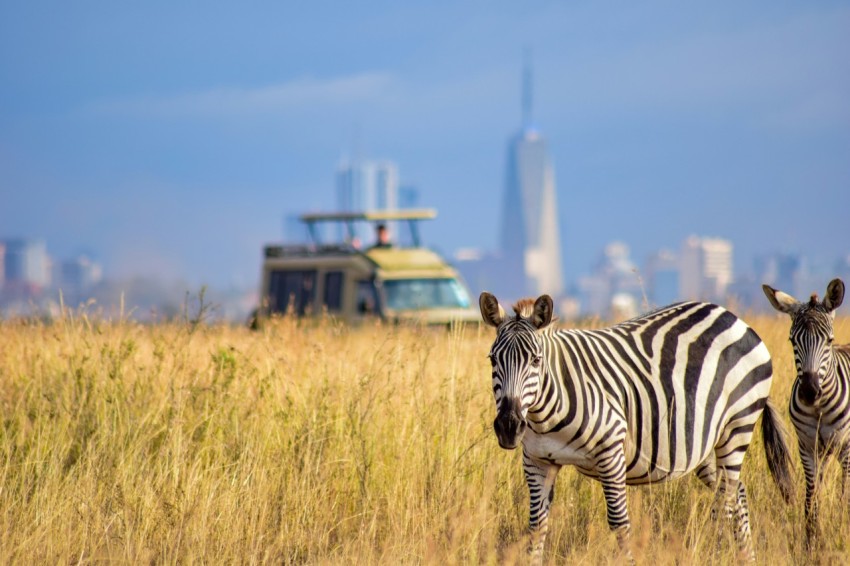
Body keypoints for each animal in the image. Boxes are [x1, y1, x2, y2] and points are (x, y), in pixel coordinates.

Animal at [476, 292, 796, 564]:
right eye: (493, 360)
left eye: (535, 360)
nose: (509, 426)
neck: (545, 415)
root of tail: (732, 316)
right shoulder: (537, 462)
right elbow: (536, 528)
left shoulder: (611, 453)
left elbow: (619, 525)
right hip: (702, 444)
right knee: (737, 492)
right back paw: (746, 558)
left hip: (737, 425)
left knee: (726, 500)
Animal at [760, 278, 848, 544]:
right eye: (792, 341)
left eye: (829, 340)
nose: (809, 391)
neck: (819, 408)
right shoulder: (807, 446)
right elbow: (812, 495)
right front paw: (811, 539)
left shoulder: (846, 448)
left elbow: (844, 494)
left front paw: (841, 529)